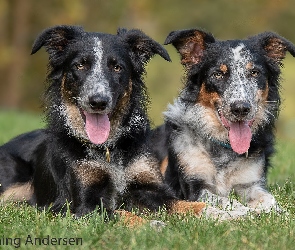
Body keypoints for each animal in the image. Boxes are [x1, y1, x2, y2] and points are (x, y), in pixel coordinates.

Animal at [0, 24, 206, 218]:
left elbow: (187, 204)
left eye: (117, 67)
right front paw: (153, 224)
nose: (98, 102)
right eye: (80, 65)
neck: (108, 148)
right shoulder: (85, 204)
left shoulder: (151, 187)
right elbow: (124, 215)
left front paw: (213, 214)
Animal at [151, 27, 295, 215]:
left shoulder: (251, 184)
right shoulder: (194, 187)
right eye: (218, 74)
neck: (223, 145)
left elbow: (270, 200)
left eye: (254, 72)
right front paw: (242, 213)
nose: (240, 108)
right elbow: (225, 200)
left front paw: (278, 213)